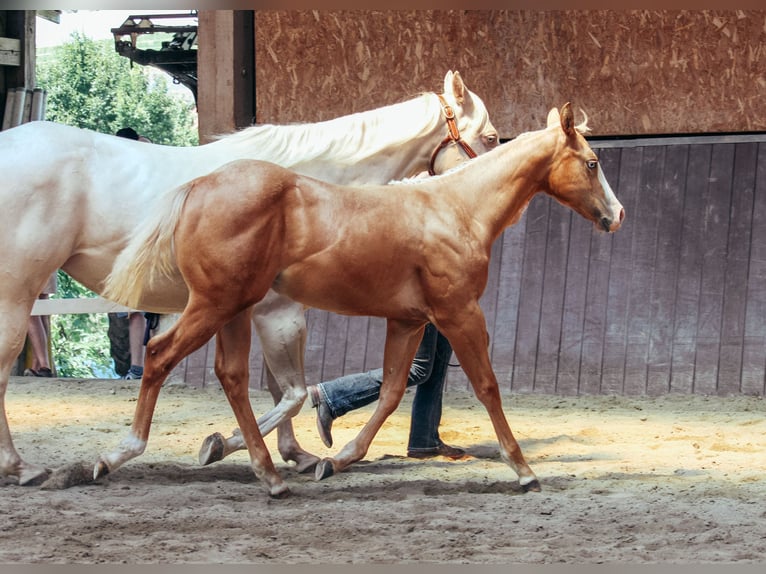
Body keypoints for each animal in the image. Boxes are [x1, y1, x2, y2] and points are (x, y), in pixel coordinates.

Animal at [0, 71, 499, 487]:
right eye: (492, 136)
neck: (304, 189)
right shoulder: (280, 311)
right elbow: (290, 392)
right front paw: (228, 446)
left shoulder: (260, 312)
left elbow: (278, 388)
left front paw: (292, 454)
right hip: (18, 291)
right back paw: (22, 468)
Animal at [102, 103, 625, 497]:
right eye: (592, 162)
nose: (617, 215)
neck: (457, 208)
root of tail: (198, 185)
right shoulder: (460, 313)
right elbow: (487, 386)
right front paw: (524, 470)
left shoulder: (408, 321)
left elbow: (391, 392)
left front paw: (335, 461)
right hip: (214, 305)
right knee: (159, 355)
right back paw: (115, 456)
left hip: (234, 309)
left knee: (232, 377)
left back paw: (268, 474)